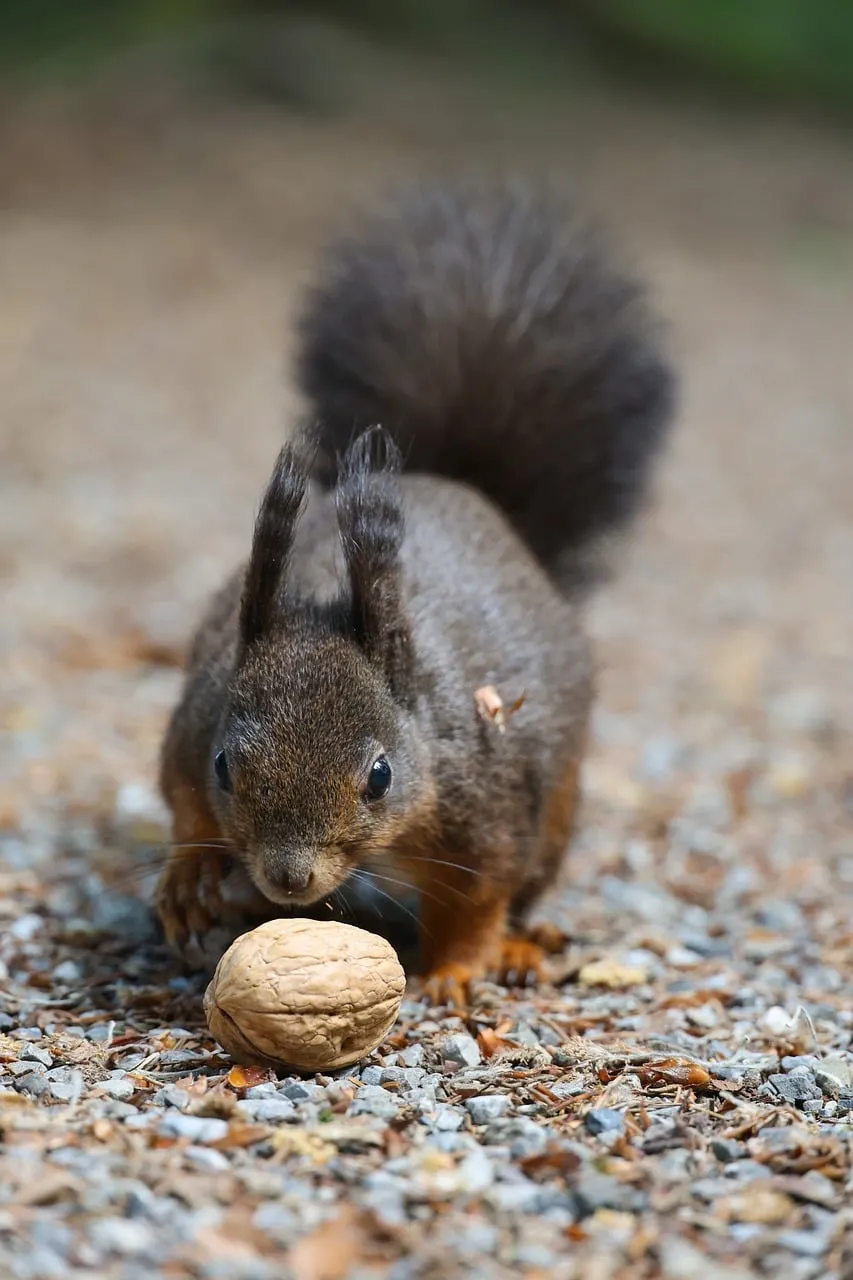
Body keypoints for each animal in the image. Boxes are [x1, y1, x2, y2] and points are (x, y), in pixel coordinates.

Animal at [155, 177, 675, 1006]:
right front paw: (185, 876)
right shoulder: (191, 728)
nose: (287, 879)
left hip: (557, 806)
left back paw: (521, 948)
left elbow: (480, 897)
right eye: (225, 765)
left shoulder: (486, 808)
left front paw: (454, 971)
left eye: (380, 776)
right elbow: (181, 804)